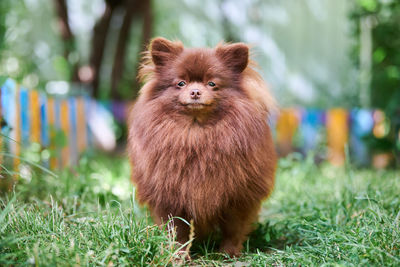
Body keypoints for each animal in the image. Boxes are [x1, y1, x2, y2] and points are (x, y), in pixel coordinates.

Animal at [129, 37, 278, 258]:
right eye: (181, 83)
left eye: (212, 83)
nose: (195, 91)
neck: (196, 132)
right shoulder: (170, 197)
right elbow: (177, 230)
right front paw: (178, 255)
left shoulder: (238, 197)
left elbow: (233, 229)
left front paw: (228, 253)